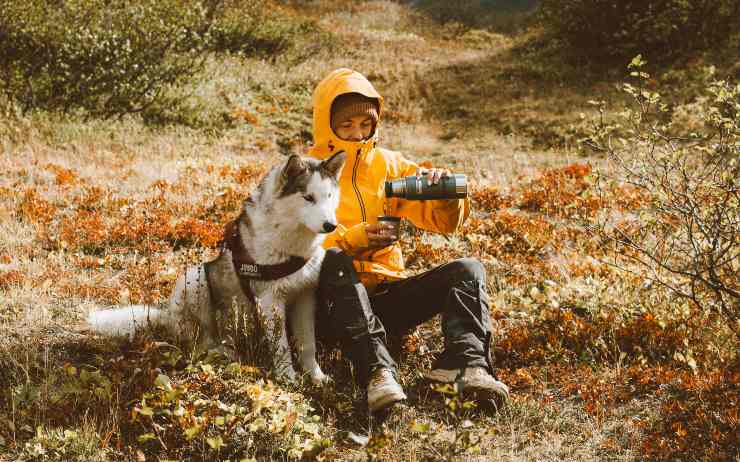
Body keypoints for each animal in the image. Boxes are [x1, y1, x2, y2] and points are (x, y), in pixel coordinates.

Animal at [86, 152, 346, 386]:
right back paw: (221, 351)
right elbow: (281, 346)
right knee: (198, 342)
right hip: (195, 277)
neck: (293, 244)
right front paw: (288, 378)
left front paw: (316, 376)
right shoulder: (270, 300)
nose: (331, 225)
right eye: (308, 197)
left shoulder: (305, 295)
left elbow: (307, 344)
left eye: (329, 196)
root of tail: (167, 315)